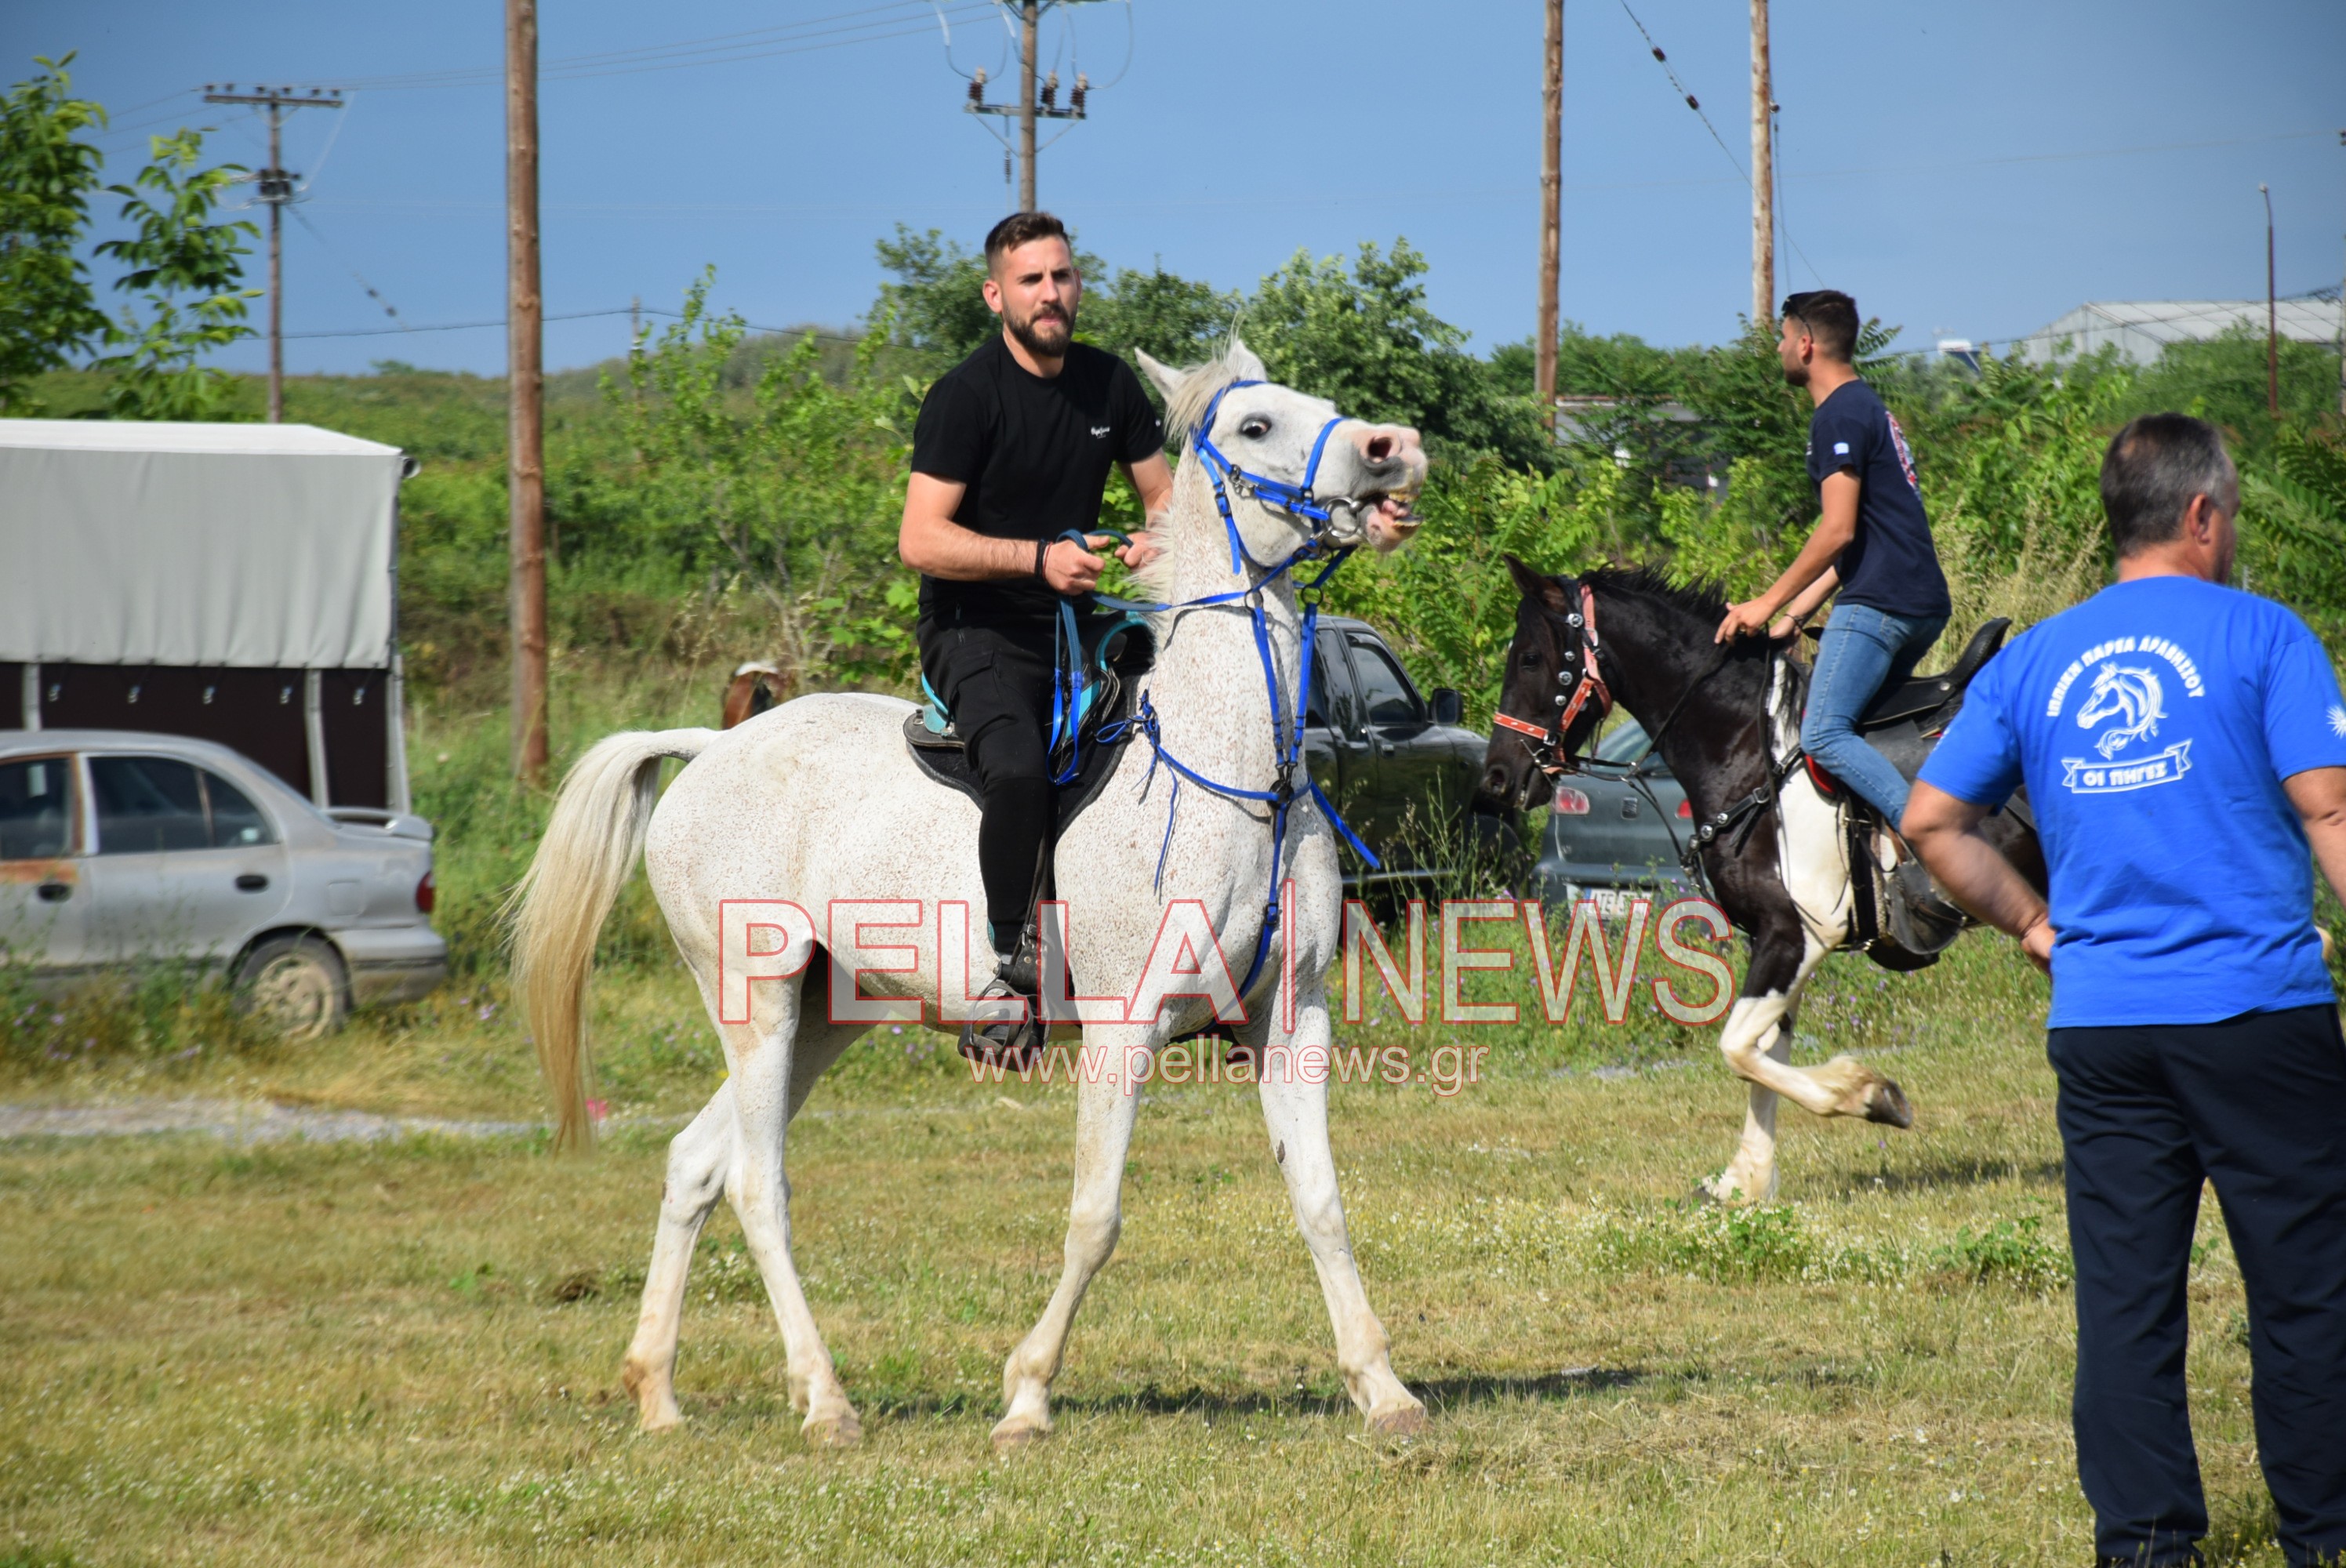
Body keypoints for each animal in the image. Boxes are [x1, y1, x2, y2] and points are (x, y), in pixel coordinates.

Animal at [511, 340, 1426, 1446]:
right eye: (1256, 426)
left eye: (1325, 406)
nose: (1393, 450)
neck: (1237, 773)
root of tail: (711, 746)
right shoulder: (1122, 1030)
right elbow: (1094, 1217)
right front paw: (1026, 1394)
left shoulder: (1293, 1018)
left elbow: (1322, 1202)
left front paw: (1382, 1385)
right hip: (754, 1001)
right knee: (756, 1182)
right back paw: (824, 1398)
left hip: (824, 1013)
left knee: (696, 1161)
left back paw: (657, 1390)